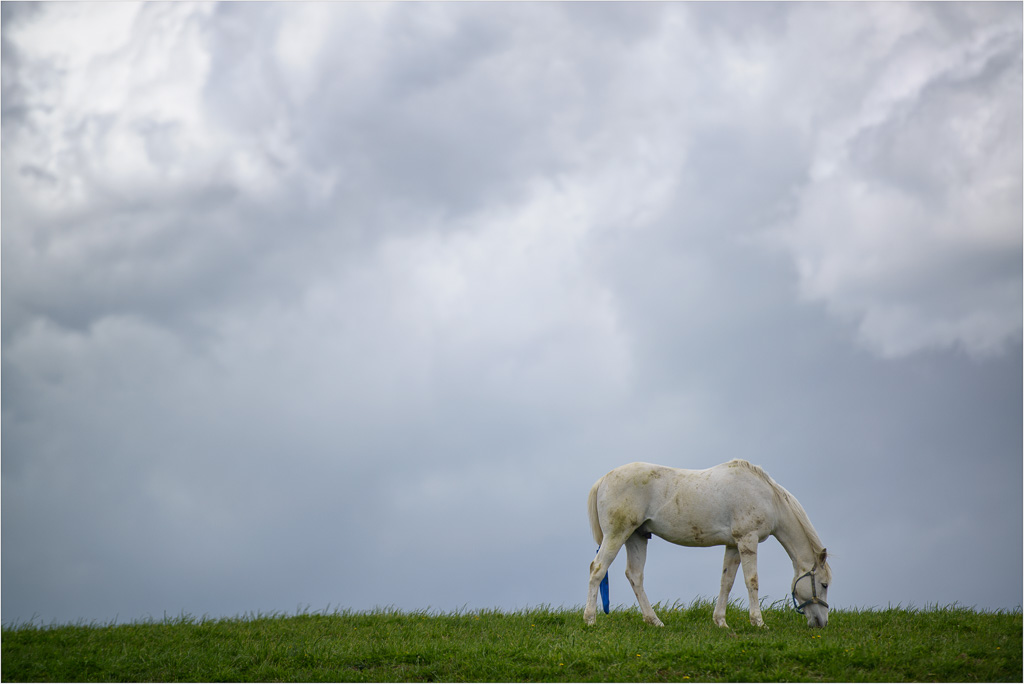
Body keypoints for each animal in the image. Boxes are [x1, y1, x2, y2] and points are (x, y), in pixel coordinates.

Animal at [585, 458, 831, 630]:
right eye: (825, 584)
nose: (822, 622)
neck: (768, 497)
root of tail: (603, 479)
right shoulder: (748, 540)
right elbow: (752, 581)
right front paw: (759, 622)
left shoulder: (733, 545)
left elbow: (727, 582)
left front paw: (721, 621)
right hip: (617, 534)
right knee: (597, 569)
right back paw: (590, 619)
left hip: (637, 537)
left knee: (635, 576)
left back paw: (655, 621)